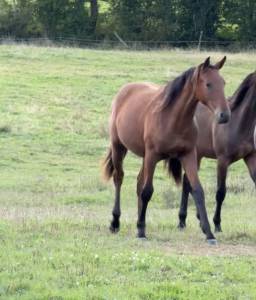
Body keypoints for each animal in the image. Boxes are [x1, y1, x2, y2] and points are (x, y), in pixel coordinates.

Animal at [103, 56, 231, 244]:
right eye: (208, 84)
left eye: (223, 82)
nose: (224, 115)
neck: (172, 118)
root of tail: (124, 91)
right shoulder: (153, 155)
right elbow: (147, 191)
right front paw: (141, 232)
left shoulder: (188, 156)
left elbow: (197, 191)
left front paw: (209, 233)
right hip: (119, 147)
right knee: (119, 178)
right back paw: (115, 222)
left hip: (143, 157)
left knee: (138, 182)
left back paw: (137, 221)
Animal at [178, 71, 256, 232]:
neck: (238, 121)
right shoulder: (222, 161)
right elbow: (221, 193)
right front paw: (217, 224)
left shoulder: (250, 157)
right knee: (187, 182)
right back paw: (182, 220)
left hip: (198, 156)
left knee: (187, 182)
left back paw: (194, 218)